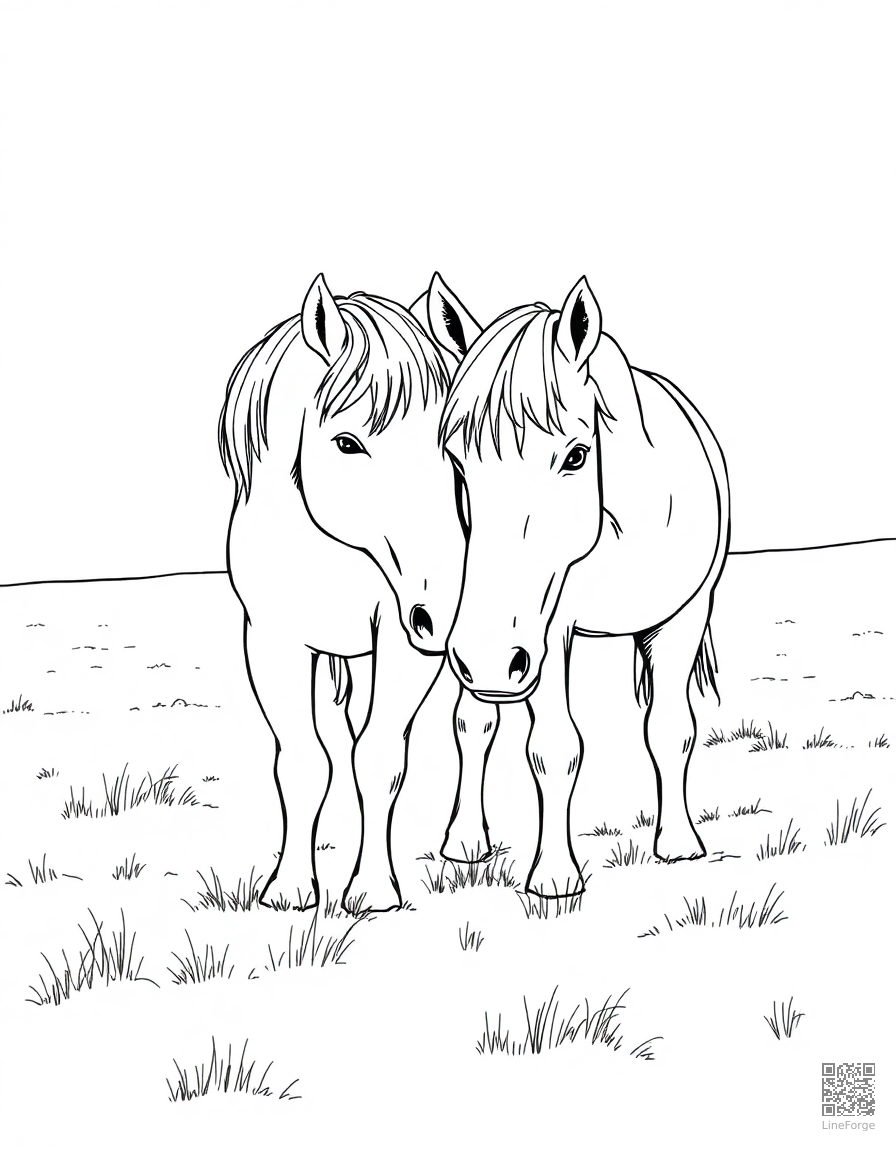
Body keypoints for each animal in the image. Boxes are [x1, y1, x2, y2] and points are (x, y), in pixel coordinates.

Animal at [219, 273, 481, 912]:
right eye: (346, 443)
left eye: (453, 449)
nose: (446, 617)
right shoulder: (272, 639)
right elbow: (303, 761)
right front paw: (291, 887)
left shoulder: (407, 643)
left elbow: (379, 757)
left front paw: (372, 890)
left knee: (472, 726)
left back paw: (466, 842)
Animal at [429, 275, 730, 896]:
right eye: (457, 461)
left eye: (575, 455)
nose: (489, 661)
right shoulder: (543, 632)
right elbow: (552, 747)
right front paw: (554, 876)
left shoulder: (683, 618)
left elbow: (671, 729)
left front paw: (679, 844)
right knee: (474, 723)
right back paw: (466, 843)